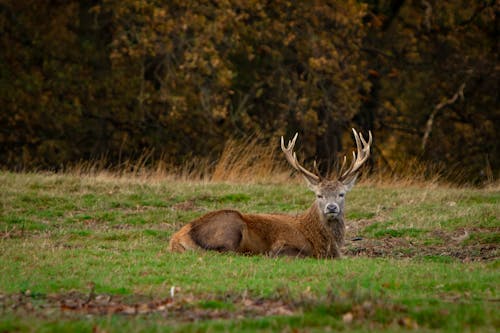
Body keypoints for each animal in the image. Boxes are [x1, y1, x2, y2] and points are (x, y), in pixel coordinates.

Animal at [168, 128, 372, 258]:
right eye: (319, 195)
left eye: (341, 194)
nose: (331, 208)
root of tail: (177, 238)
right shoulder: (284, 245)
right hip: (231, 226)